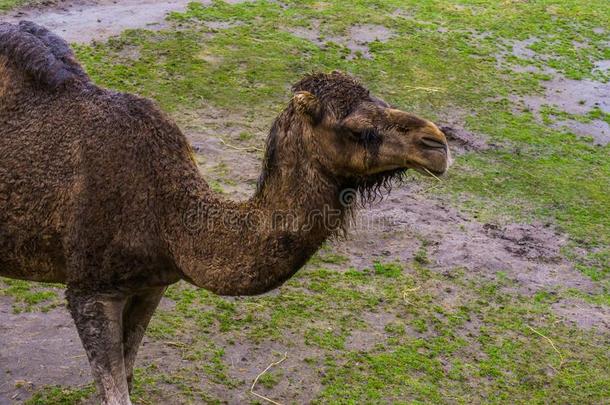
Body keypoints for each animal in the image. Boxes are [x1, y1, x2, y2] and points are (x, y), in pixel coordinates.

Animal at [0, 22, 446, 404]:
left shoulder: (151, 283)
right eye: (357, 130)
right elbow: (115, 391)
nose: (437, 145)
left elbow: (127, 372)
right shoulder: (90, 289)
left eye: (384, 101)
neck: (168, 218)